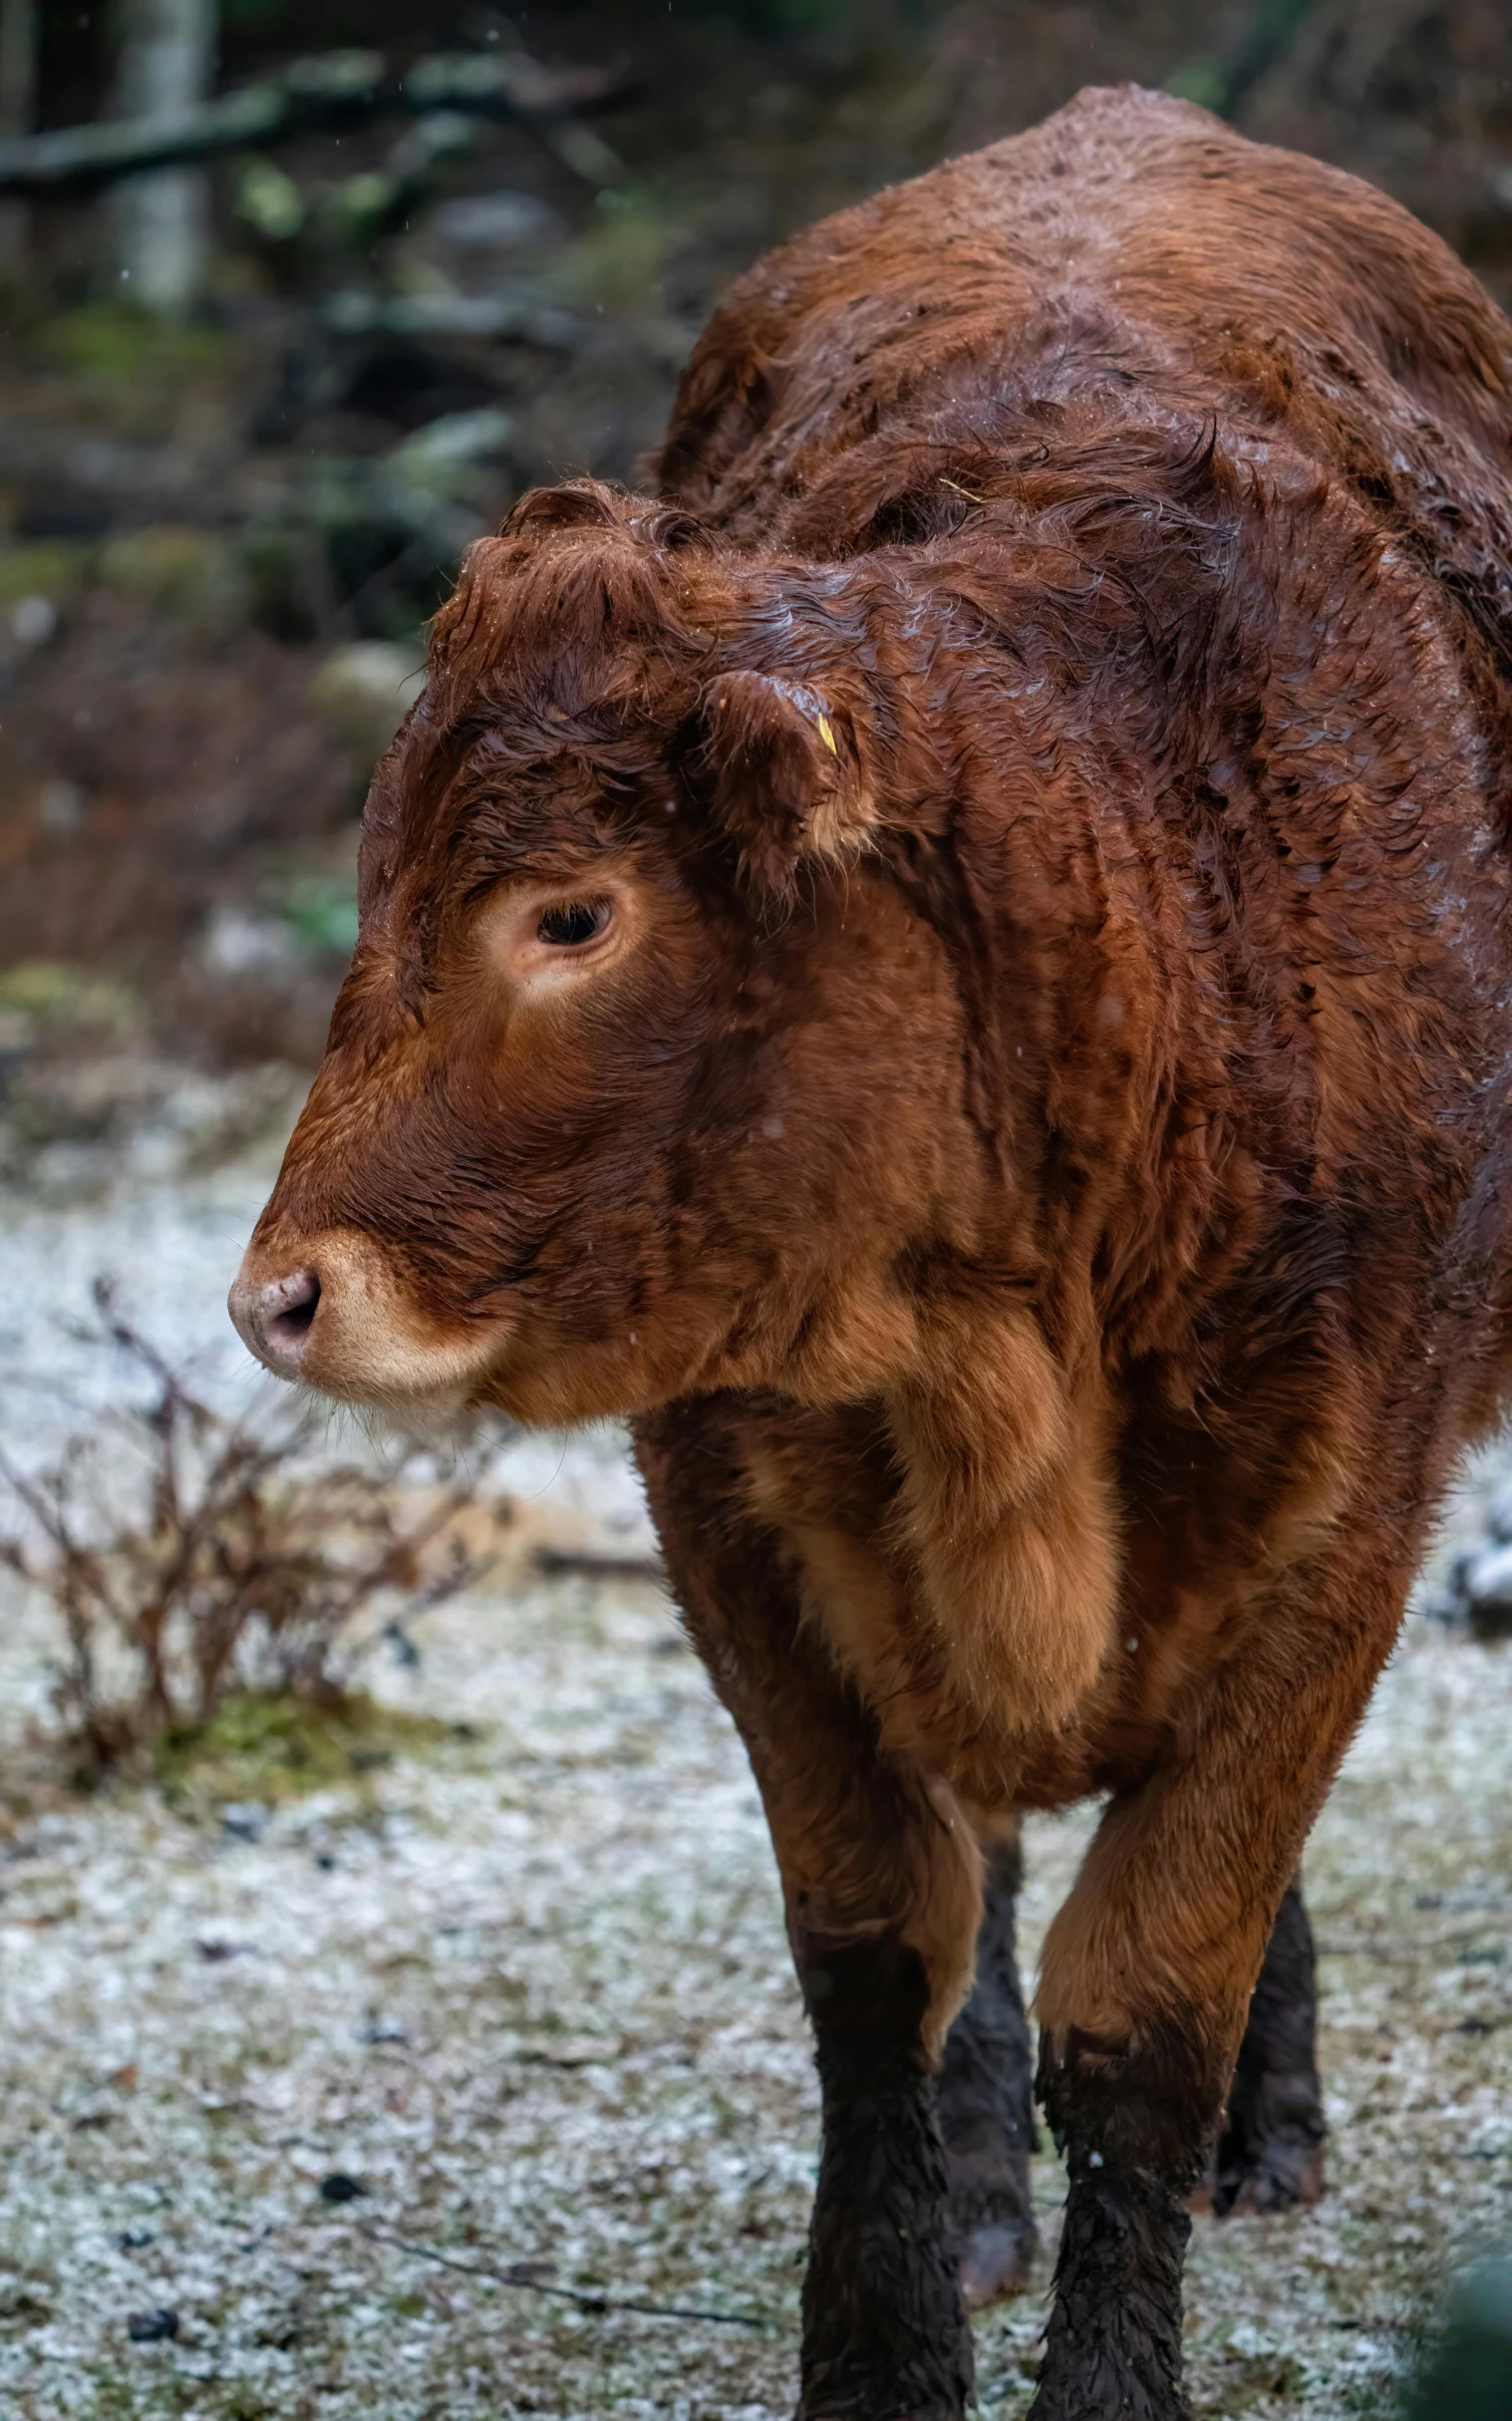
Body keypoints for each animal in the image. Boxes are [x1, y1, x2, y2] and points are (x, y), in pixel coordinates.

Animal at [229, 80, 1509, 2421]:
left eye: (570, 912)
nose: (282, 1291)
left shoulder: (1344, 1518)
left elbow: (1156, 1981)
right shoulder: (736, 1507)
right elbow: (875, 1943)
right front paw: (896, 2327)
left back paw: (1260, 2124)